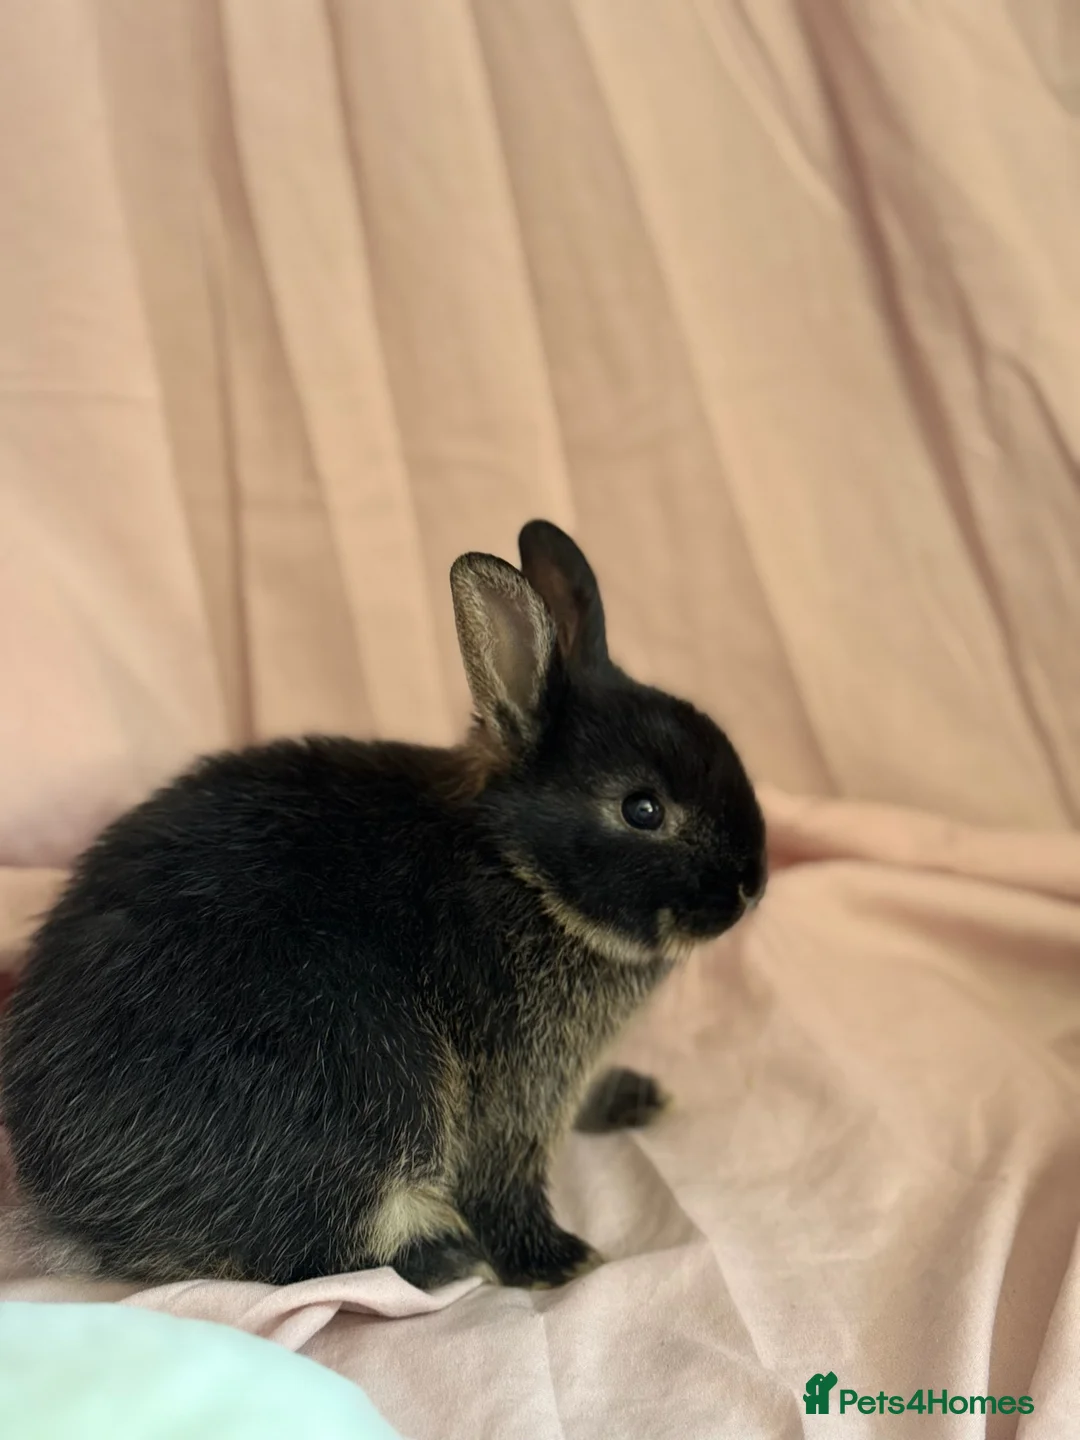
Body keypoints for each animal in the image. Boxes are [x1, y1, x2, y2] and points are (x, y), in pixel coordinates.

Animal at [0, 520, 766, 1291]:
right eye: (642, 809)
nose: (751, 885)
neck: (519, 869)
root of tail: (73, 1209)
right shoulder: (515, 1090)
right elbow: (502, 1179)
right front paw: (557, 1259)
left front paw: (636, 1097)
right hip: (366, 1084)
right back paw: (447, 1253)